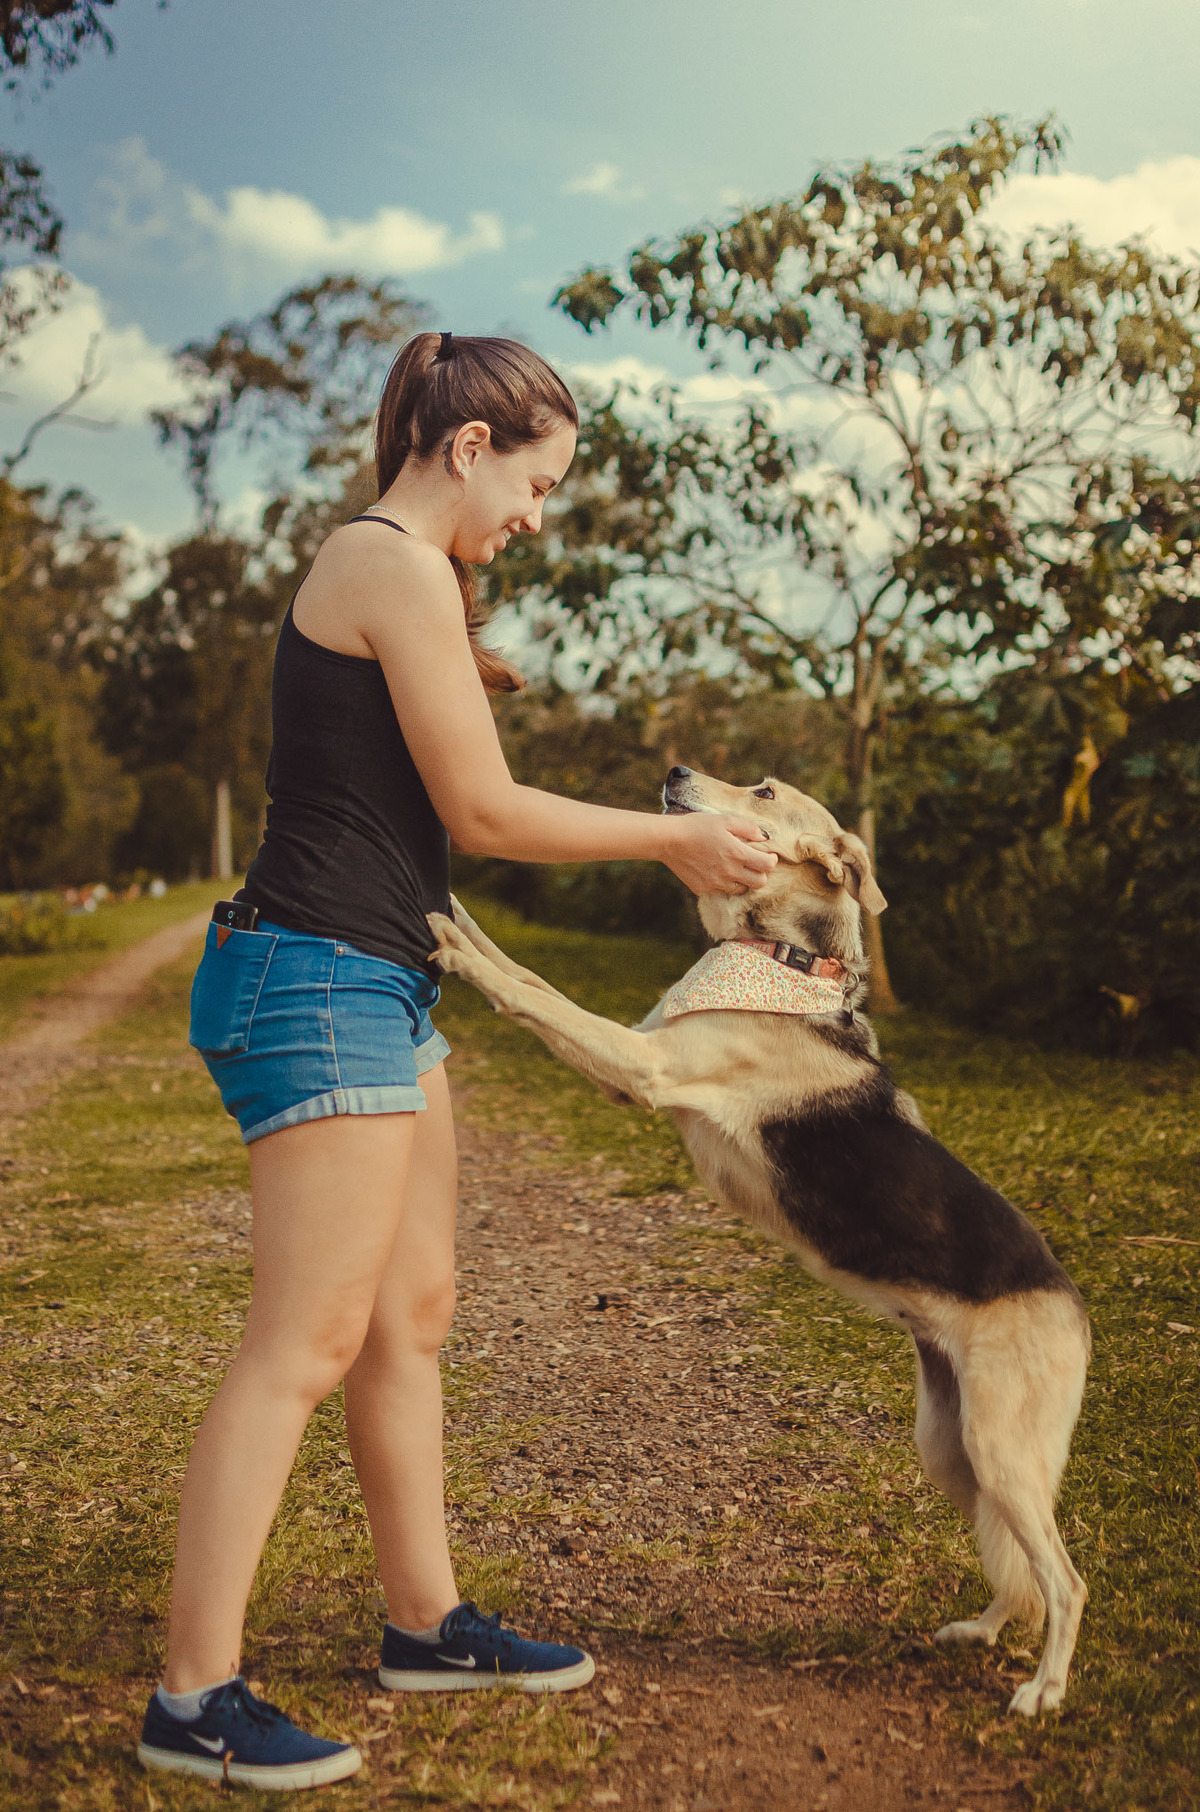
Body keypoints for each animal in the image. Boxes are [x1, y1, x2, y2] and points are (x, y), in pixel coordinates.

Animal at [427, 765, 1090, 1716]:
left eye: (765, 790)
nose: (673, 772)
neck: (783, 959)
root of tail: (1071, 1306)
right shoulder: (638, 1051)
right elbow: (530, 974)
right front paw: (456, 906)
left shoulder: (644, 1065)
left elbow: (525, 990)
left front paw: (455, 946)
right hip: (955, 1450)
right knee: (1021, 1570)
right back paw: (983, 1631)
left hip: (1003, 1451)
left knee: (1066, 1582)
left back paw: (1044, 1690)